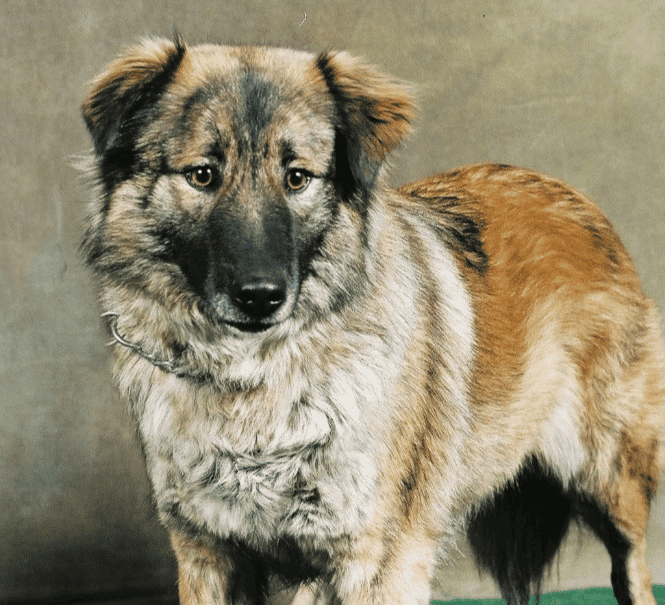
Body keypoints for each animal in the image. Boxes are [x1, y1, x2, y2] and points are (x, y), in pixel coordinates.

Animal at [79, 37, 664, 604]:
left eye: (297, 178)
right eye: (202, 175)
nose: (260, 297)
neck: (252, 379)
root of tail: (575, 199)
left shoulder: (379, 558)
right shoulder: (209, 552)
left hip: (607, 478)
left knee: (631, 568)